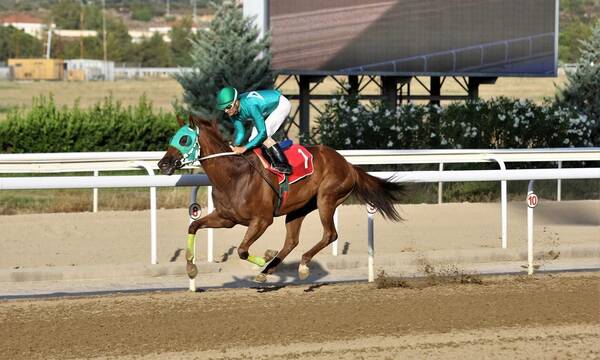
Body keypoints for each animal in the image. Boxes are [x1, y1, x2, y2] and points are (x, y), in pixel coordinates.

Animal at [157, 116, 406, 282]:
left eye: (185, 139)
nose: (163, 164)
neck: (234, 175)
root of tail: (349, 165)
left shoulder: (262, 220)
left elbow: (242, 250)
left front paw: (261, 261)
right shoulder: (225, 218)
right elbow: (193, 226)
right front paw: (191, 268)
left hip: (326, 199)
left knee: (330, 234)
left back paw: (297, 265)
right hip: (298, 209)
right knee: (291, 241)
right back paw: (271, 266)